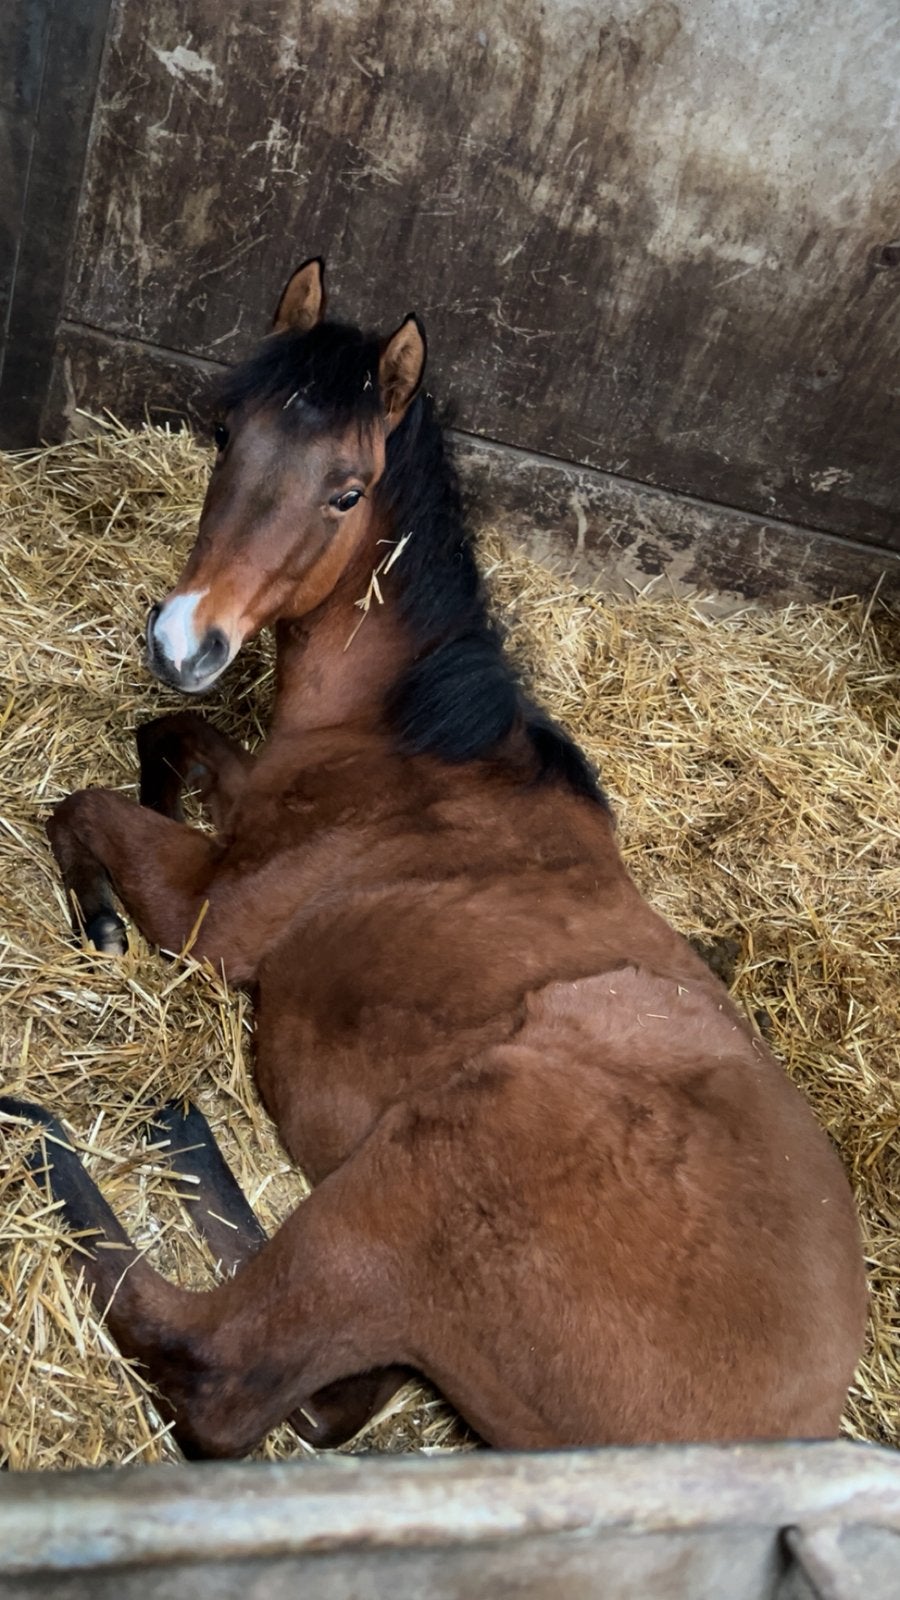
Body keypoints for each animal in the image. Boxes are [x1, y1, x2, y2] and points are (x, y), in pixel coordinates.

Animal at [2, 257, 866, 1459]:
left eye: (347, 489)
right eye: (226, 434)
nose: (184, 639)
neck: (411, 740)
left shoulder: (207, 910)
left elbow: (82, 809)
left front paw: (96, 917)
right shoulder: (250, 786)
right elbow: (168, 737)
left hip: (430, 1155)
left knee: (215, 1365)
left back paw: (57, 1136)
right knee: (328, 1389)